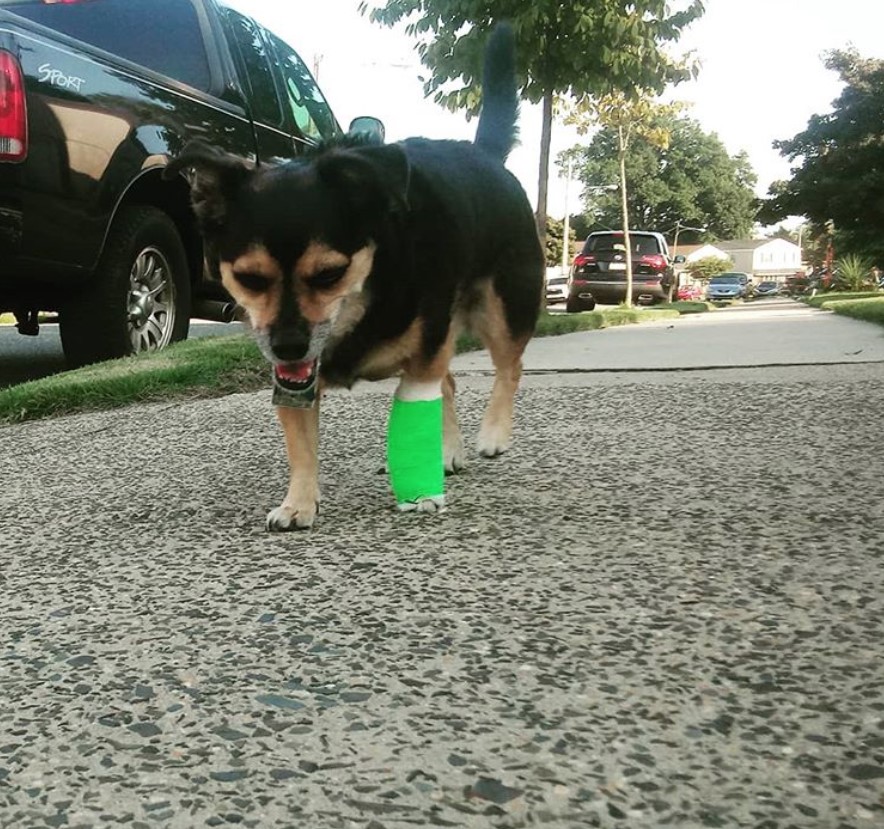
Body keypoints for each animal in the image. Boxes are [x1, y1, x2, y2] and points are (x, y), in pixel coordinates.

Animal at [162, 25, 544, 532]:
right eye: (249, 278)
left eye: (329, 274)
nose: (288, 347)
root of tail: (483, 154)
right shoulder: (295, 383)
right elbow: (302, 447)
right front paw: (299, 502)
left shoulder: (422, 355)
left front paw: (420, 491)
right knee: (450, 383)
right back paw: (447, 450)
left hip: (502, 307)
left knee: (509, 367)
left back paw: (493, 434)